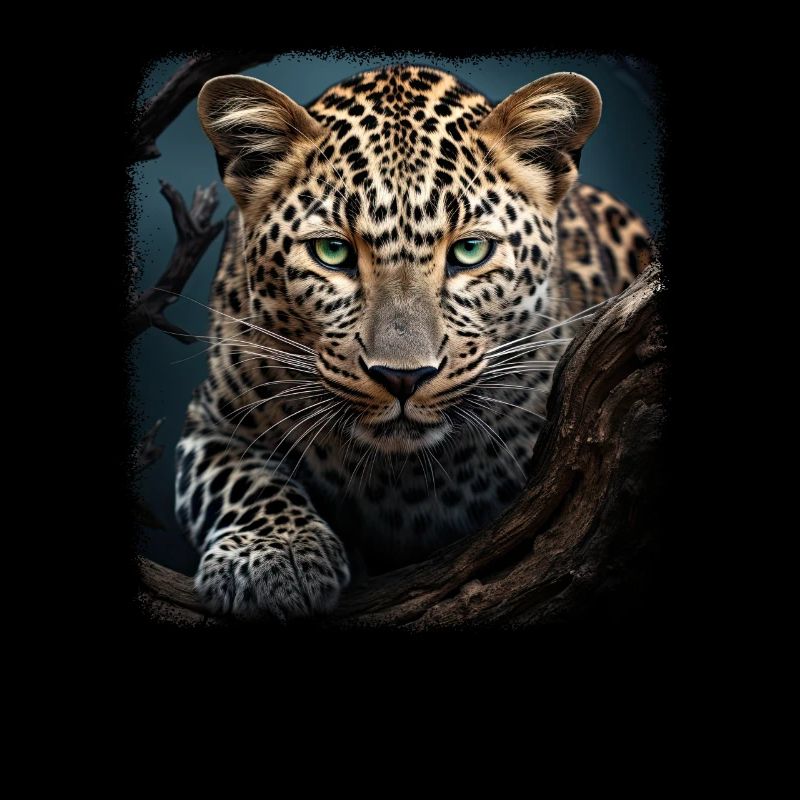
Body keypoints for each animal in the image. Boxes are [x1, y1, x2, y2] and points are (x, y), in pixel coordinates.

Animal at [174, 65, 652, 620]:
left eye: (470, 250)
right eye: (332, 251)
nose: (403, 378)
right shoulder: (212, 421)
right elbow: (243, 481)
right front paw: (273, 557)